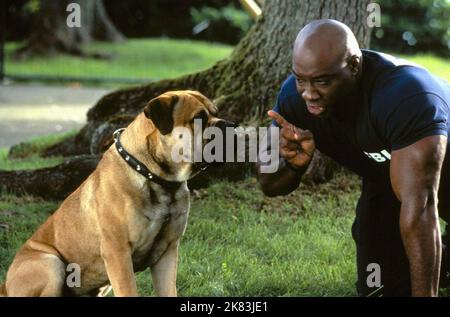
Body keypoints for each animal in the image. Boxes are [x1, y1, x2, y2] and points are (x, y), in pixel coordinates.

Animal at [0, 90, 232, 296]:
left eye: (216, 112)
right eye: (198, 118)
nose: (229, 125)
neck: (156, 177)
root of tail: (5, 286)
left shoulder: (167, 252)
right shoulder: (118, 252)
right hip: (50, 263)